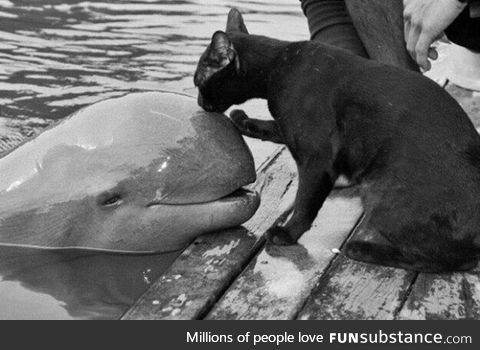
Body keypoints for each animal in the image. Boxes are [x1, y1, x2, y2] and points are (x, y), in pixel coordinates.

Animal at [193, 6, 480, 272]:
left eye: (198, 82)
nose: (198, 102)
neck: (277, 65)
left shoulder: (316, 156)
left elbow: (305, 202)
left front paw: (287, 233)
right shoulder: (292, 130)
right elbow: (271, 129)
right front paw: (241, 119)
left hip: (383, 195)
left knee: (443, 259)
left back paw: (361, 248)